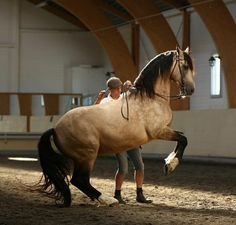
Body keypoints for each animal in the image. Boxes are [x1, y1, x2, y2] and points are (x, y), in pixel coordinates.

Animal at [36, 46, 195, 207]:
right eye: (184, 66)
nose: (190, 90)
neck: (151, 98)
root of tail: (56, 128)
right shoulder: (159, 132)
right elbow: (184, 140)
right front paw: (171, 165)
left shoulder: (166, 130)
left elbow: (181, 139)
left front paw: (168, 162)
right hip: (87, 155)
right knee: (80, 180)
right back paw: (109, 199)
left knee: (80, 181)